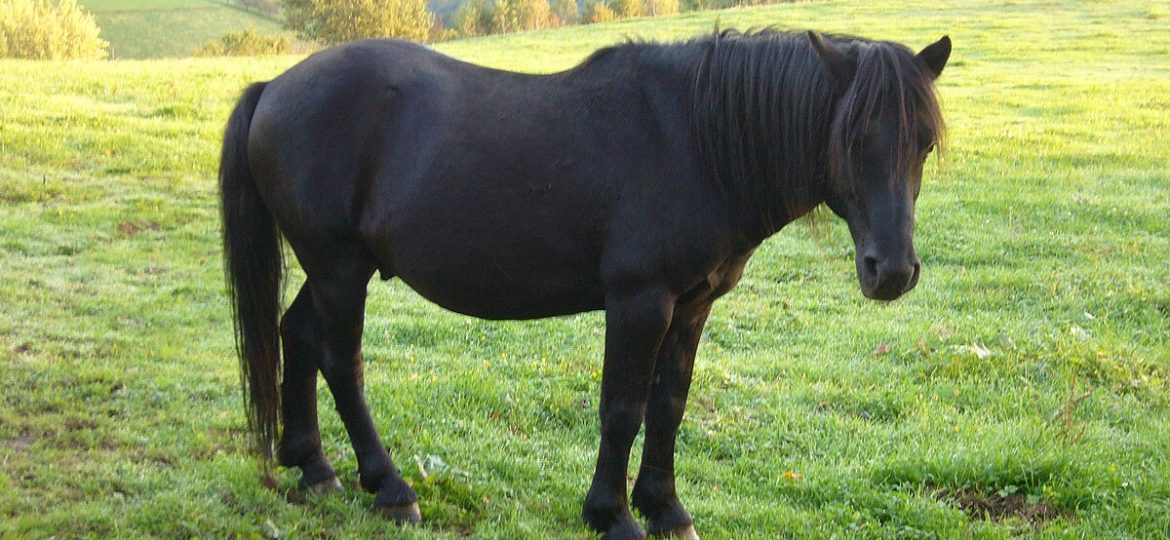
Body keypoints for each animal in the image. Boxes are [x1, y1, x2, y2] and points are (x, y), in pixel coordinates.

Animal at [220, 28, 950, 539]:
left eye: (923, 141)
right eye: (850, 138)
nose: (892, 272)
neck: (695, 140)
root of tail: (273, 86)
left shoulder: (692, 305)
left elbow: (668, 405)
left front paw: (667, 509)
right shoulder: (639, 301)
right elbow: (622, 408)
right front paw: (613, 514)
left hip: (335, 268)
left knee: (297, 334)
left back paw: (313, 467)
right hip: (340, 267)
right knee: (341, 363)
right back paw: (391, 489)